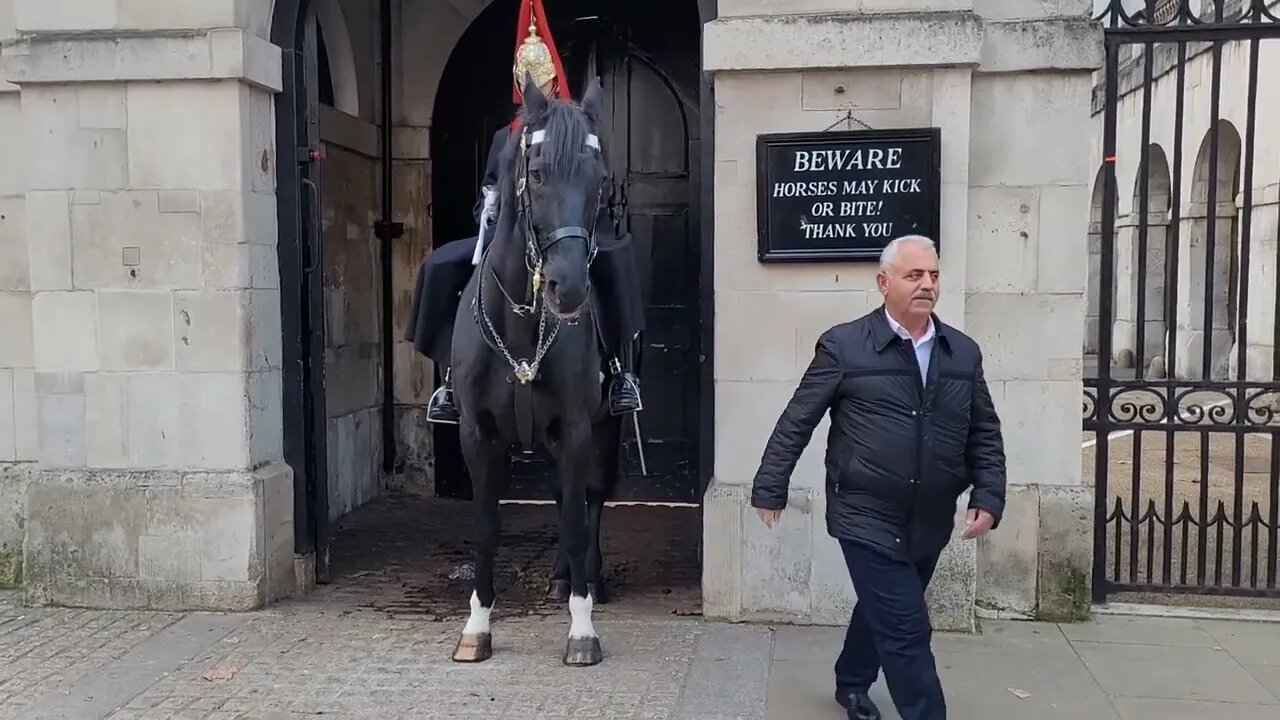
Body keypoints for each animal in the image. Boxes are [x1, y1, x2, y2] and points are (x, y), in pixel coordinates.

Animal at [450, 75, 624, 666]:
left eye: (598, 179)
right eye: (539, 172)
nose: (567, 288)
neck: (524, 321)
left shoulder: (575, 428)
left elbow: (575, 522)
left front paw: (583, 631)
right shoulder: (477, 433)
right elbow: (485, 526)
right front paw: (476, 627)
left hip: (602, 428)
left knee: (591, 499)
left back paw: (586, 579)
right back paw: (560, 578)